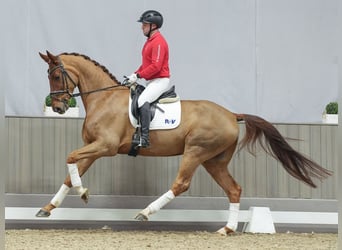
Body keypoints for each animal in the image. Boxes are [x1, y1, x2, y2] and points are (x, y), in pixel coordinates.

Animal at [36, 50, 330, 234]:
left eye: (55, 75)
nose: (59, 108)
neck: (103, 98)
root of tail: (231, 114)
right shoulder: (94, 149)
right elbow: (71, 171)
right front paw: (48, 208)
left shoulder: (105, 147)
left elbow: (70, 158)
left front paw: (83, 193)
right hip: (214, 161)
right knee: (233, 189)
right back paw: (226, 229)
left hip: (196, 152)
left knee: (181, 184)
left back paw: (145, 213)